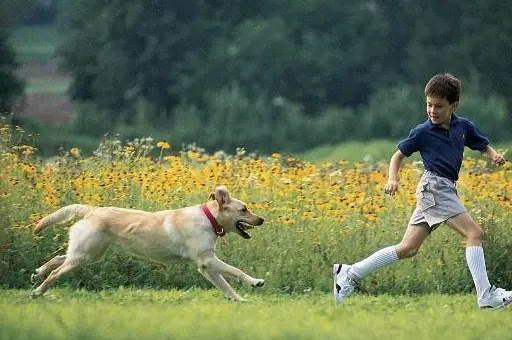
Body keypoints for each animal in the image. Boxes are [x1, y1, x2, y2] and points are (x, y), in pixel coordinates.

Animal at [29, 186, 264, 300]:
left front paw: (239, 300)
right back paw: (38, 291)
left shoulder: (205, 266)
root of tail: (91, 209)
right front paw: (255, 282)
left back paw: (38, 272)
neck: (208, 218)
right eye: (244, 209)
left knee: (60, 257)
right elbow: (236, 272)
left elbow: (225, 286)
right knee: (56, 272)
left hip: (89, 254)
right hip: (84, 255)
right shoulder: (208, 260)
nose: (262, 219)